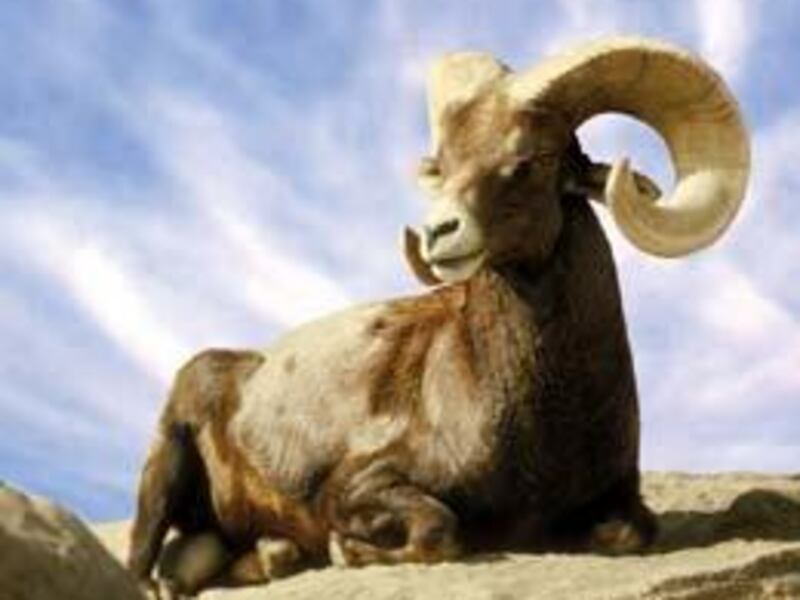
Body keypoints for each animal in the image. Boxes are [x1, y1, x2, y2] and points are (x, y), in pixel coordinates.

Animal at [128, 36, 750, 597]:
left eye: (532, 160)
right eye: (443, 166)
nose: (438, 233)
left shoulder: (620, 505)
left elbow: (628, 532)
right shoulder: (359, 487)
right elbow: (439, 530)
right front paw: (346, 551)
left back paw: (273, 557)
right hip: (164, 471)